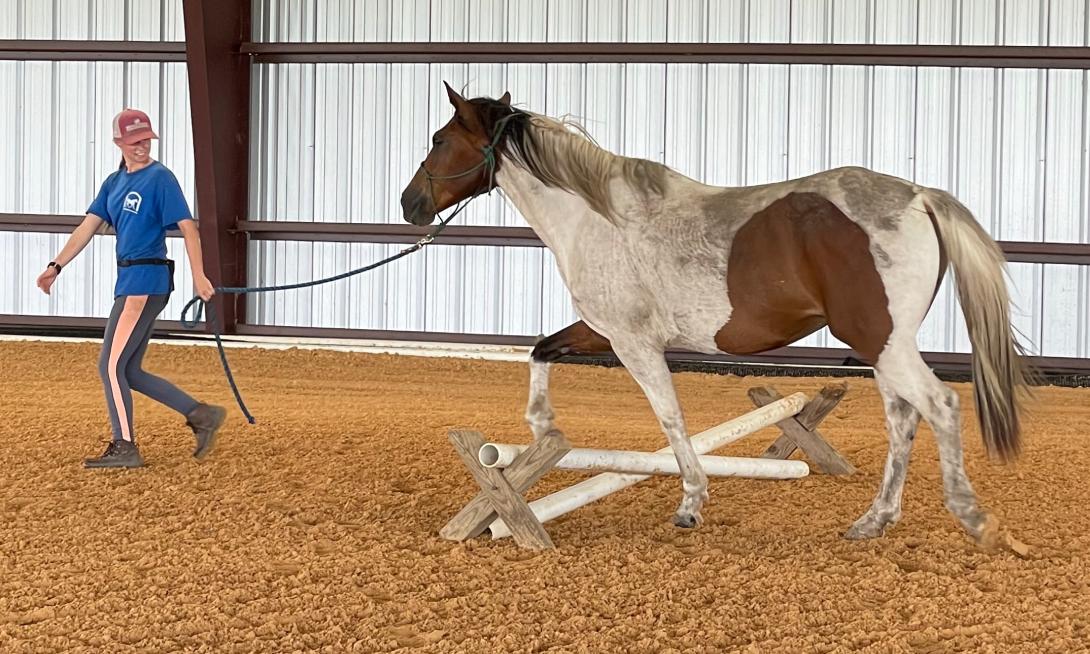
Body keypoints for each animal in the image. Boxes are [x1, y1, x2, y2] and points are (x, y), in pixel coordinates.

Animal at [401, 84, 1028, 545]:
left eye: (439, 138)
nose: (409, 204)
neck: (598, 217)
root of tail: (920, 196)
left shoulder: (632, 342)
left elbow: (670, 418)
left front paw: (691, 503)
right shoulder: (600, 332)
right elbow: (541, 349)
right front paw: (541, 429)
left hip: (882, 343)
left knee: (939, 406)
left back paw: (973, 519)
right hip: (884, 349)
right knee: (903, 420)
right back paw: (873, 521)